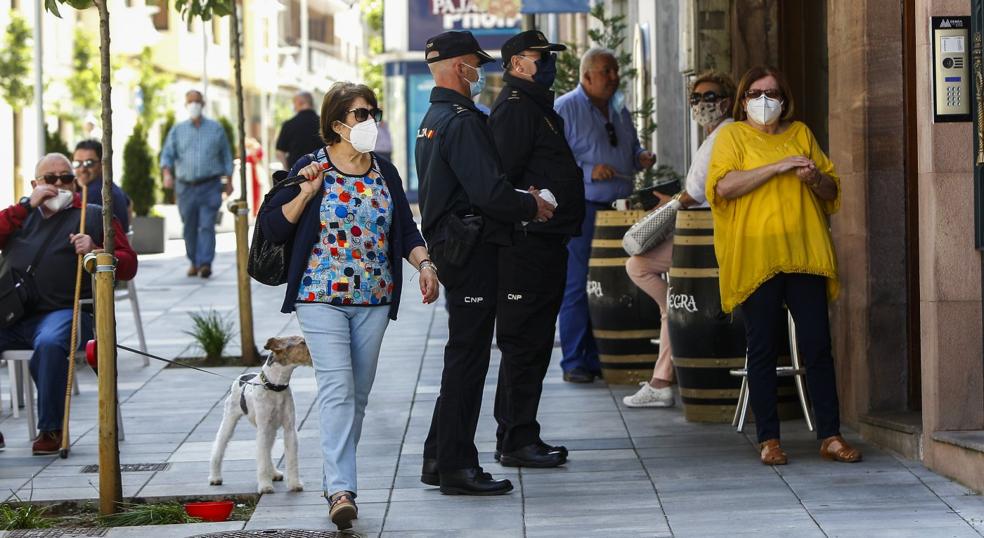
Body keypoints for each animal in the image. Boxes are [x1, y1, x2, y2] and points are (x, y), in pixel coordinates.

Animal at [209, 336, 312, 490]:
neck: (275, 386)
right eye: (302, 342)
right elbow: (262, 458)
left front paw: (295, 484)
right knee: (219, 446)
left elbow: (291, 459)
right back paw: (215, 478)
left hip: (271, 429)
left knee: (267, 451)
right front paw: (265, 487)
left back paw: (274, 473)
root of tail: (243, 377)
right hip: (230, 420)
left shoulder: (289, 429)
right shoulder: (263, 429)